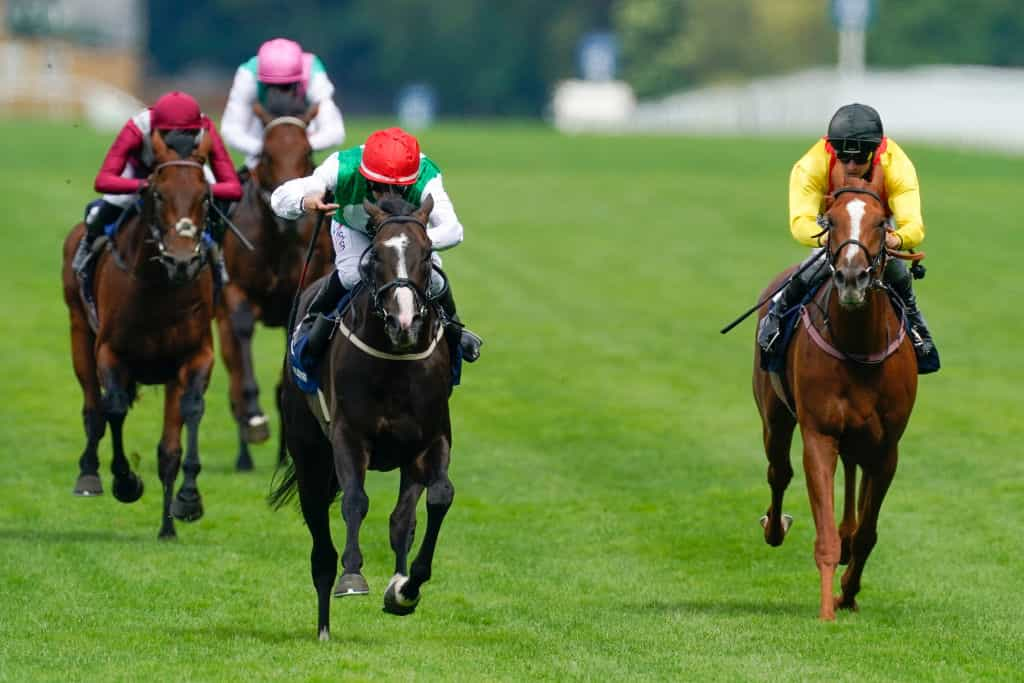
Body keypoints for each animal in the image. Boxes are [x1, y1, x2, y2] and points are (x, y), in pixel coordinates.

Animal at [61, 132, 218, 540]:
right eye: (159, 194)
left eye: (204, 197)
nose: (182, 261)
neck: (159, 288)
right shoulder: (111, 353)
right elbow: (113, 407)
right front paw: (126, 482)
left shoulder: (194, 356)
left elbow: (184, 423)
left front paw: (185, 504)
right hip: (78, 330)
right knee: (93, 407)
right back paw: (88, 474)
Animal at [217, 94, 331, 471]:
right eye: (266, 154)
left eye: (307, 151)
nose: (290, 218)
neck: (280, 242)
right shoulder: (235, 291)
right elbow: (242, 338)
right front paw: (254, 416)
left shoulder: (295, 300)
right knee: (233, 378)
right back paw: (244, 453)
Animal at [270, 193, 454, 643]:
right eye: (376, 260)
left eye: (427, 254)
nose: (405, 322)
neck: (396, 362)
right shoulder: (349, 436)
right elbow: (355, 499)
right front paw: (352, 575)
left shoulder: (431, 438)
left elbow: (436, 499)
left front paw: (407, 587)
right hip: (308, 454)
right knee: (319, 540)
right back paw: (323, 625)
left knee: (402, 520)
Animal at [753, 167, 921, 622]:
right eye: (830, 220)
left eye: (881, 223)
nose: (850, 277)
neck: (858, 345)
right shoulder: (819, 434)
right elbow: (824, 530)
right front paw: (828, 607)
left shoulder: (887, 447)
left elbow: (867, 531)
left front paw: (848, 592)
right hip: (774, 415)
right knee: (779, 471)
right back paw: (775, 526)